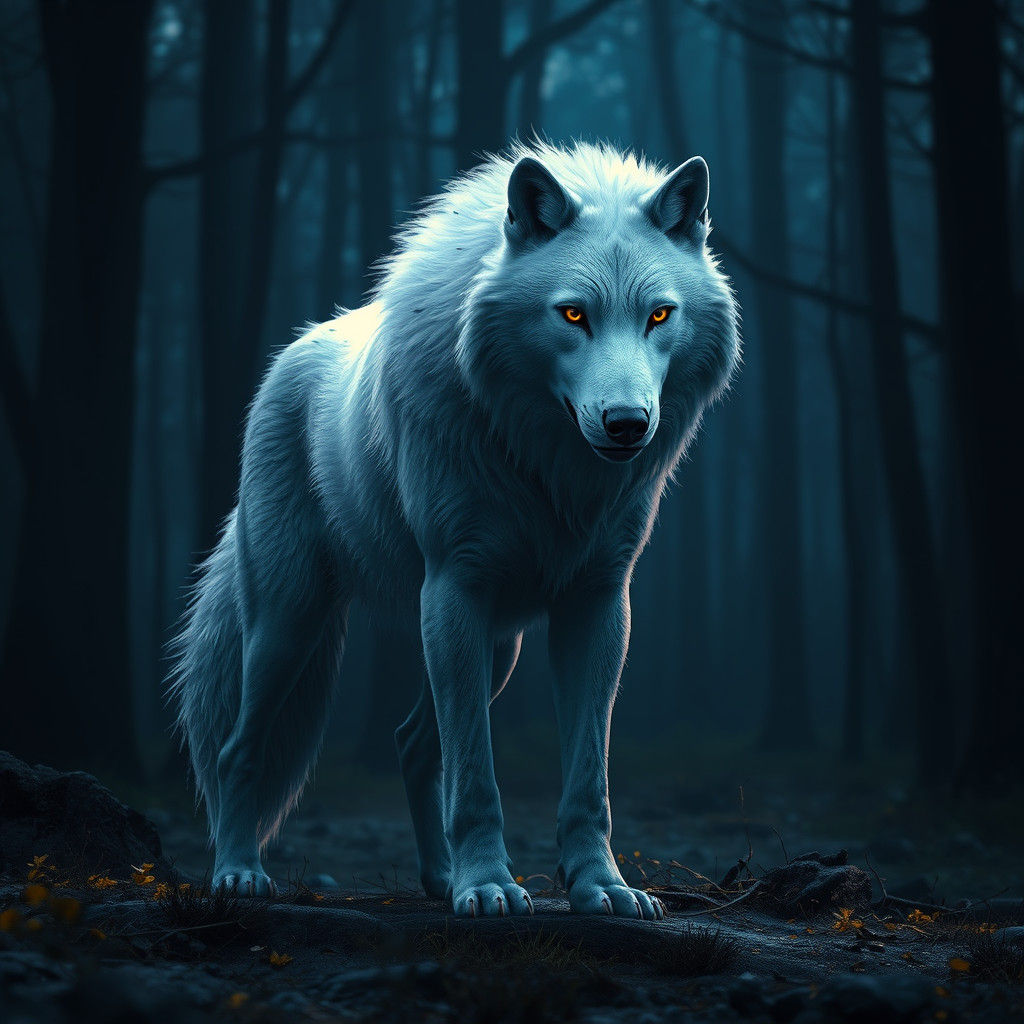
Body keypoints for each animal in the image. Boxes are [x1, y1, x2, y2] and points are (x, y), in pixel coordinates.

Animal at [171, 142, 739, 919]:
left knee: (413, 743)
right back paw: (238, 872)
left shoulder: (597, 604)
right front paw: (491, 886)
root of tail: (298, 347)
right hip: (290, 623)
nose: (627, 424)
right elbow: (476, 777)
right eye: (573, 314)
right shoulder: (454, 589)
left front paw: (600, 886)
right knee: (239, 747)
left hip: (500, 648)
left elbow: (587, 778)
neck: (543, 468)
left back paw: (439, 882)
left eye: (658, 315)